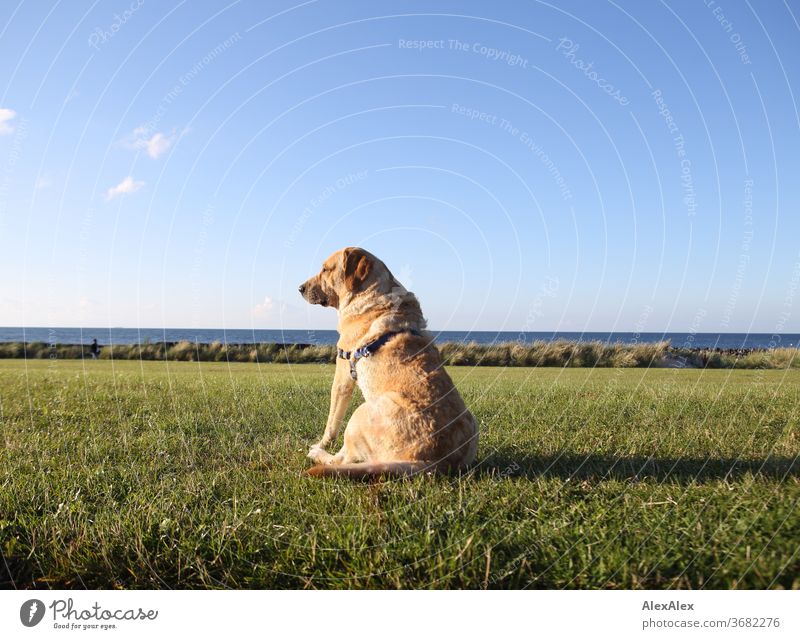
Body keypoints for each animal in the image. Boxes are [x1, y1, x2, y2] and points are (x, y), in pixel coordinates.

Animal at [298, 248, 476, 478]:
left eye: (325, 269)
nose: (300, 288)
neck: (371, 293)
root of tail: (435, 462)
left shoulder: (343, 374)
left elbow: (331, 422)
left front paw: (321, 443)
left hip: (361, 413)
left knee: (341, 459)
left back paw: (317, 453)